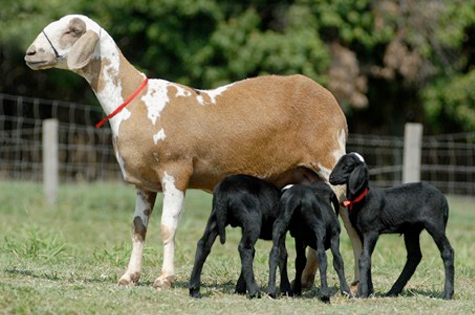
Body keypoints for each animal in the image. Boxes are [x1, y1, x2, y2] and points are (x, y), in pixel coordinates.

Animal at [24, 14, 362, 292]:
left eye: (73, 30)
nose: (30, 53)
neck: (136, 101)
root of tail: (334, 105)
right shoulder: (144, 183)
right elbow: (138, 228)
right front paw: (129, 276)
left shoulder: (175, 172)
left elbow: (166, 227)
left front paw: (164, 279)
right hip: (305, 174)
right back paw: (305, 281)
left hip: (330, 159)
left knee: (348, 217)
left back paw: (358, 282)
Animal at [330, 153, 456, 302]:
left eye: (347, 166)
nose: (331, 178)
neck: (363, 198)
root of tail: (443, 198)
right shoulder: (361, 232)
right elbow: (366, 257)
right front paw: (369, 291)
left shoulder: (371, 231)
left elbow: (364, 258)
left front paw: (363, 293)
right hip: (412, 230)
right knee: (414, 256)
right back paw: (393, 291)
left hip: (435, 224)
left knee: (447, 252)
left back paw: (447, 294)